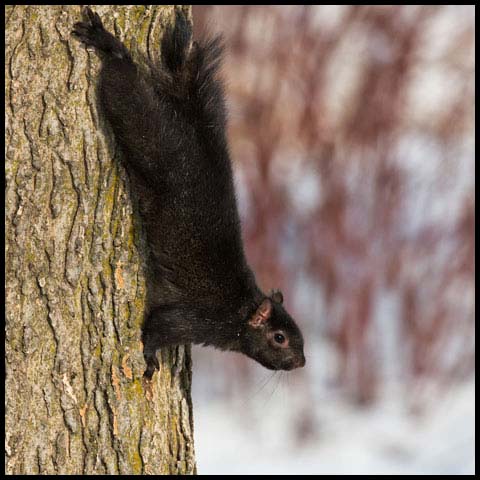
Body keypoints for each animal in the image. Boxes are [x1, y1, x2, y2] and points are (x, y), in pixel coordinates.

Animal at [72, 5, 304, 376]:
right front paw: (150, 358)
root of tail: (192, 132)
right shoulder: (194, 319)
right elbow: (157, 328)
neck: (240, 312)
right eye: (279, 338)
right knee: (125, 86)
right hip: (150, 135)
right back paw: (108, 45)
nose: (301, 362)